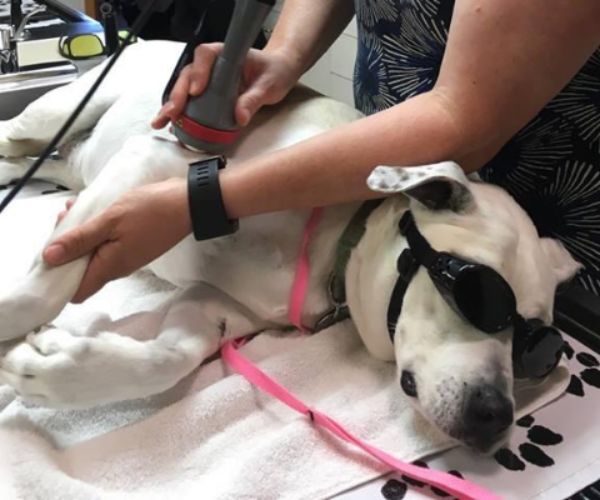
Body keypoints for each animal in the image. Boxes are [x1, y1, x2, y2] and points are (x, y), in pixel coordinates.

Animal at [0, 41, 580, 452]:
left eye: (538, 347)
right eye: (480, 295)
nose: (498, 417)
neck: (339, 241)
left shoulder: (213, 304)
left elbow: (171, 357)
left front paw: (57, 370)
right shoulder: (155, 161)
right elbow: (42, 289)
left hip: (70, 161)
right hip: (68, 108)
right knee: (14, 133)